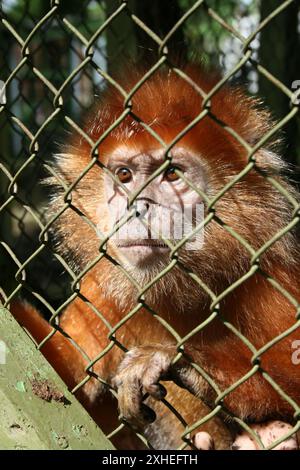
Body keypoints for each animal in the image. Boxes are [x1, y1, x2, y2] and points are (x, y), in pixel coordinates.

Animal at [9, 64, 300, 450]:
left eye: (172, 174)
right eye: (124, 175)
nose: (138, 207)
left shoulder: (272, 274)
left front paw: (179, 359)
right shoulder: (100, 286)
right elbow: (59, 379)